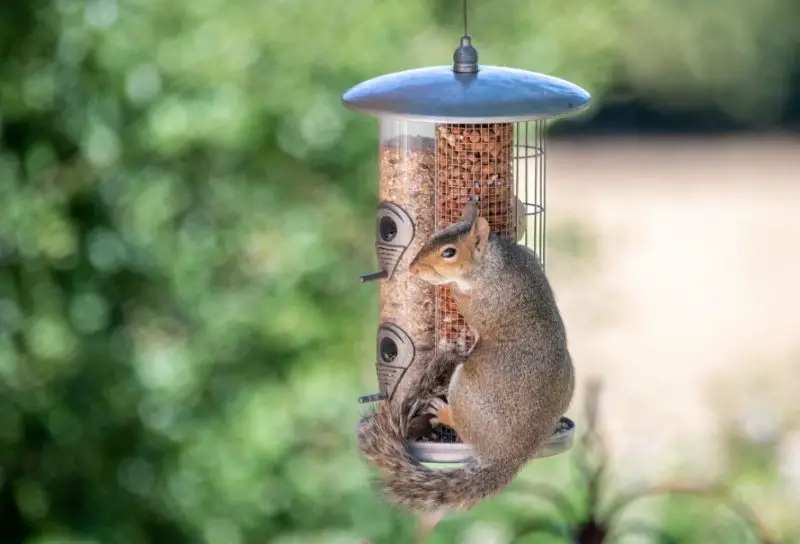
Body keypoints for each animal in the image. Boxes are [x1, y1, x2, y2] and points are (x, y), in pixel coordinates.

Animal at [358, 200, 575, 540]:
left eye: (449, 252)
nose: (413, 269)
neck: (493, 264)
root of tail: (511, 454)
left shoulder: (482, 301)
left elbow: (465, 303)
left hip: (464, 387)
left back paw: (445, 413)